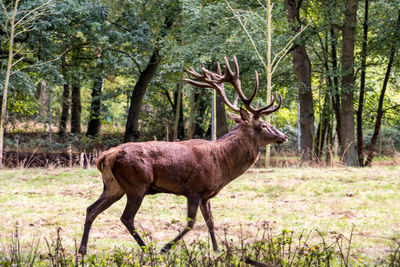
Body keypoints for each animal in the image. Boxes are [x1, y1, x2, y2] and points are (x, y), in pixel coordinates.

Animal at [78, 56, 286, 255]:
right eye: (264, 125)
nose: (283, 136)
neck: (222, 166)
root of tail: (104, 157)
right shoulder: (194, 189)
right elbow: (190, 223)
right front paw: (166, 247)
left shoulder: (206, 195)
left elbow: (210, 221)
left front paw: (217, 249)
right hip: (136, 183)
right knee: (126, 217)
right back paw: (147, 249)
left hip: (113, 186)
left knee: (91, 209)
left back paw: (83, 249)